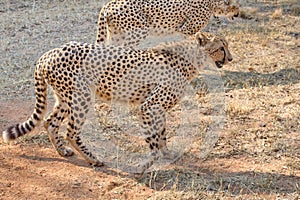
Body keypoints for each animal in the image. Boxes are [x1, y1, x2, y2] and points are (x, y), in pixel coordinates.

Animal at [1, 32, 232, 173]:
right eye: (221, 47)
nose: (230, 58)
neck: (190, 59)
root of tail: (48, 54)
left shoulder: (157, 108)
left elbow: (162, 134)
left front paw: (166, 153)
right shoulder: (148, 107)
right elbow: (153, 139)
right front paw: (146, 164)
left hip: (66, 98)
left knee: (50, 122)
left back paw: (63, 151)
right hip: (82, 97)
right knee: (71, 132)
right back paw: (93, 159)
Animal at [96, 0, 239, 47]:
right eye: (235, 6)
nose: (238, 14)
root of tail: (109, 4)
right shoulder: (184, 30)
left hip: (116, 35)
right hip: (139, 32)